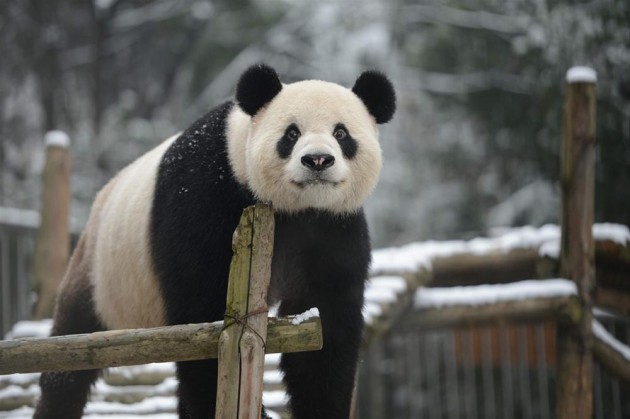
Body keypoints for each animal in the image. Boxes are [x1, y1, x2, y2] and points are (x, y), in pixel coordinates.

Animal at [34, 63, 396, 419]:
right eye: (292, 133)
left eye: (341, 133)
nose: (318, 160)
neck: (295, 209)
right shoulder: (205, 200)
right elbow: (204, 318)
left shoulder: (333, 227)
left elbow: (324, 332)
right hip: (99, 277)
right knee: (69, 359)